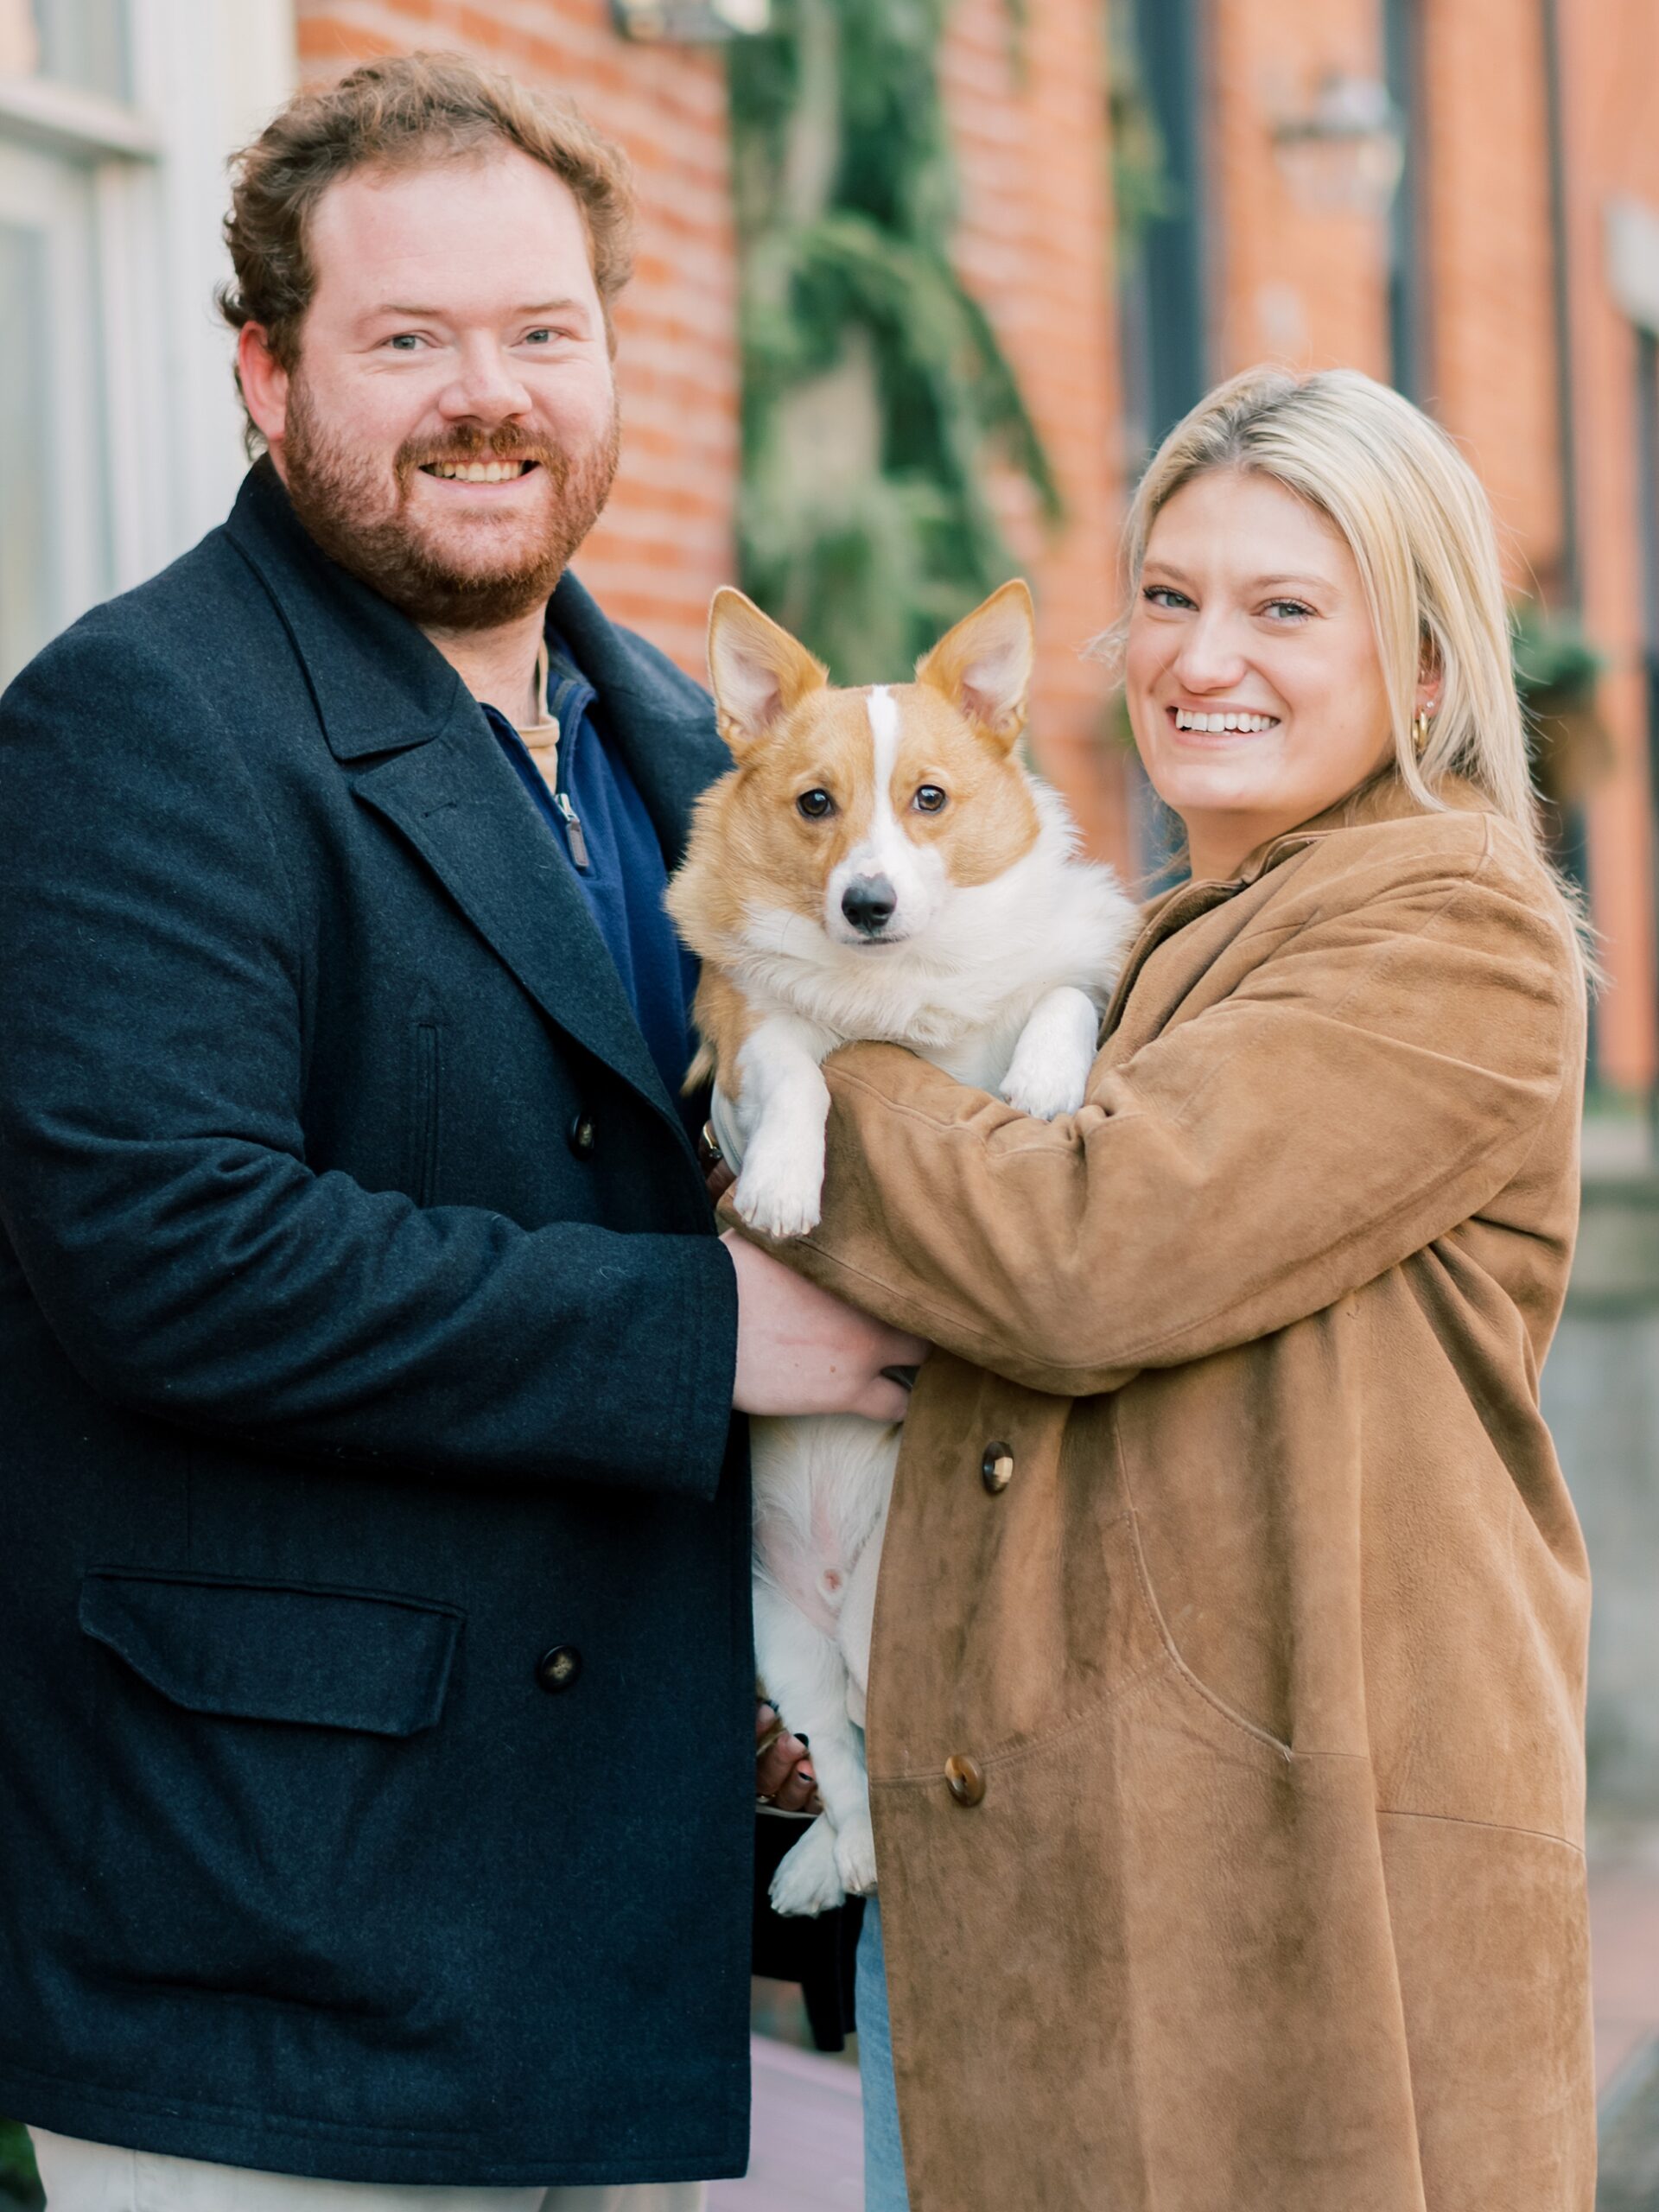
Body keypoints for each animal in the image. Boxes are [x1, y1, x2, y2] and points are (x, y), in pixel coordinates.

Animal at [668, 579, 1141, 1910]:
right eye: (813, 805)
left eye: (930, 799)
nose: (866, 905)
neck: (903, 985)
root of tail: (840, 1606)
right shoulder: (754, 1026)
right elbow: (798, 1070)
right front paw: (783, 1181)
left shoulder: (1055, 986)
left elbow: (1058, 1002)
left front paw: (1042, 1083)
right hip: (778, 1633)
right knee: (838, 1752)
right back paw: (837, 1860)